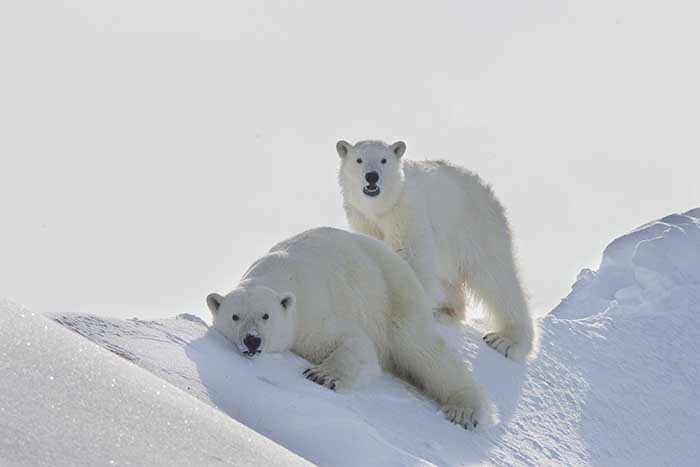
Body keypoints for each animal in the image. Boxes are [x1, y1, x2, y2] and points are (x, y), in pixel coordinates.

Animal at [206, 229, 492, 430]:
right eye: (235, 316)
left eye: (265, 316)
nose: (252, 341)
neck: (277, 275)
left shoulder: (312, 313)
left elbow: (354, 341)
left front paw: (322, 376)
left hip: (395, 299)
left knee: (423, 350)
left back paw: (463, 410)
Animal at [336, 141, 532, 360]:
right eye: (359, 159)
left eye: (384, 160)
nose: (372, 176)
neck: (381, 208)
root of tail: (489, 193)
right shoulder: (362, 218)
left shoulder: (406, 211)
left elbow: (409, 256)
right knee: (450, 278)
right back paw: (444, 310)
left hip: (476, 230)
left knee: (496, 280)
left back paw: (507, 340)